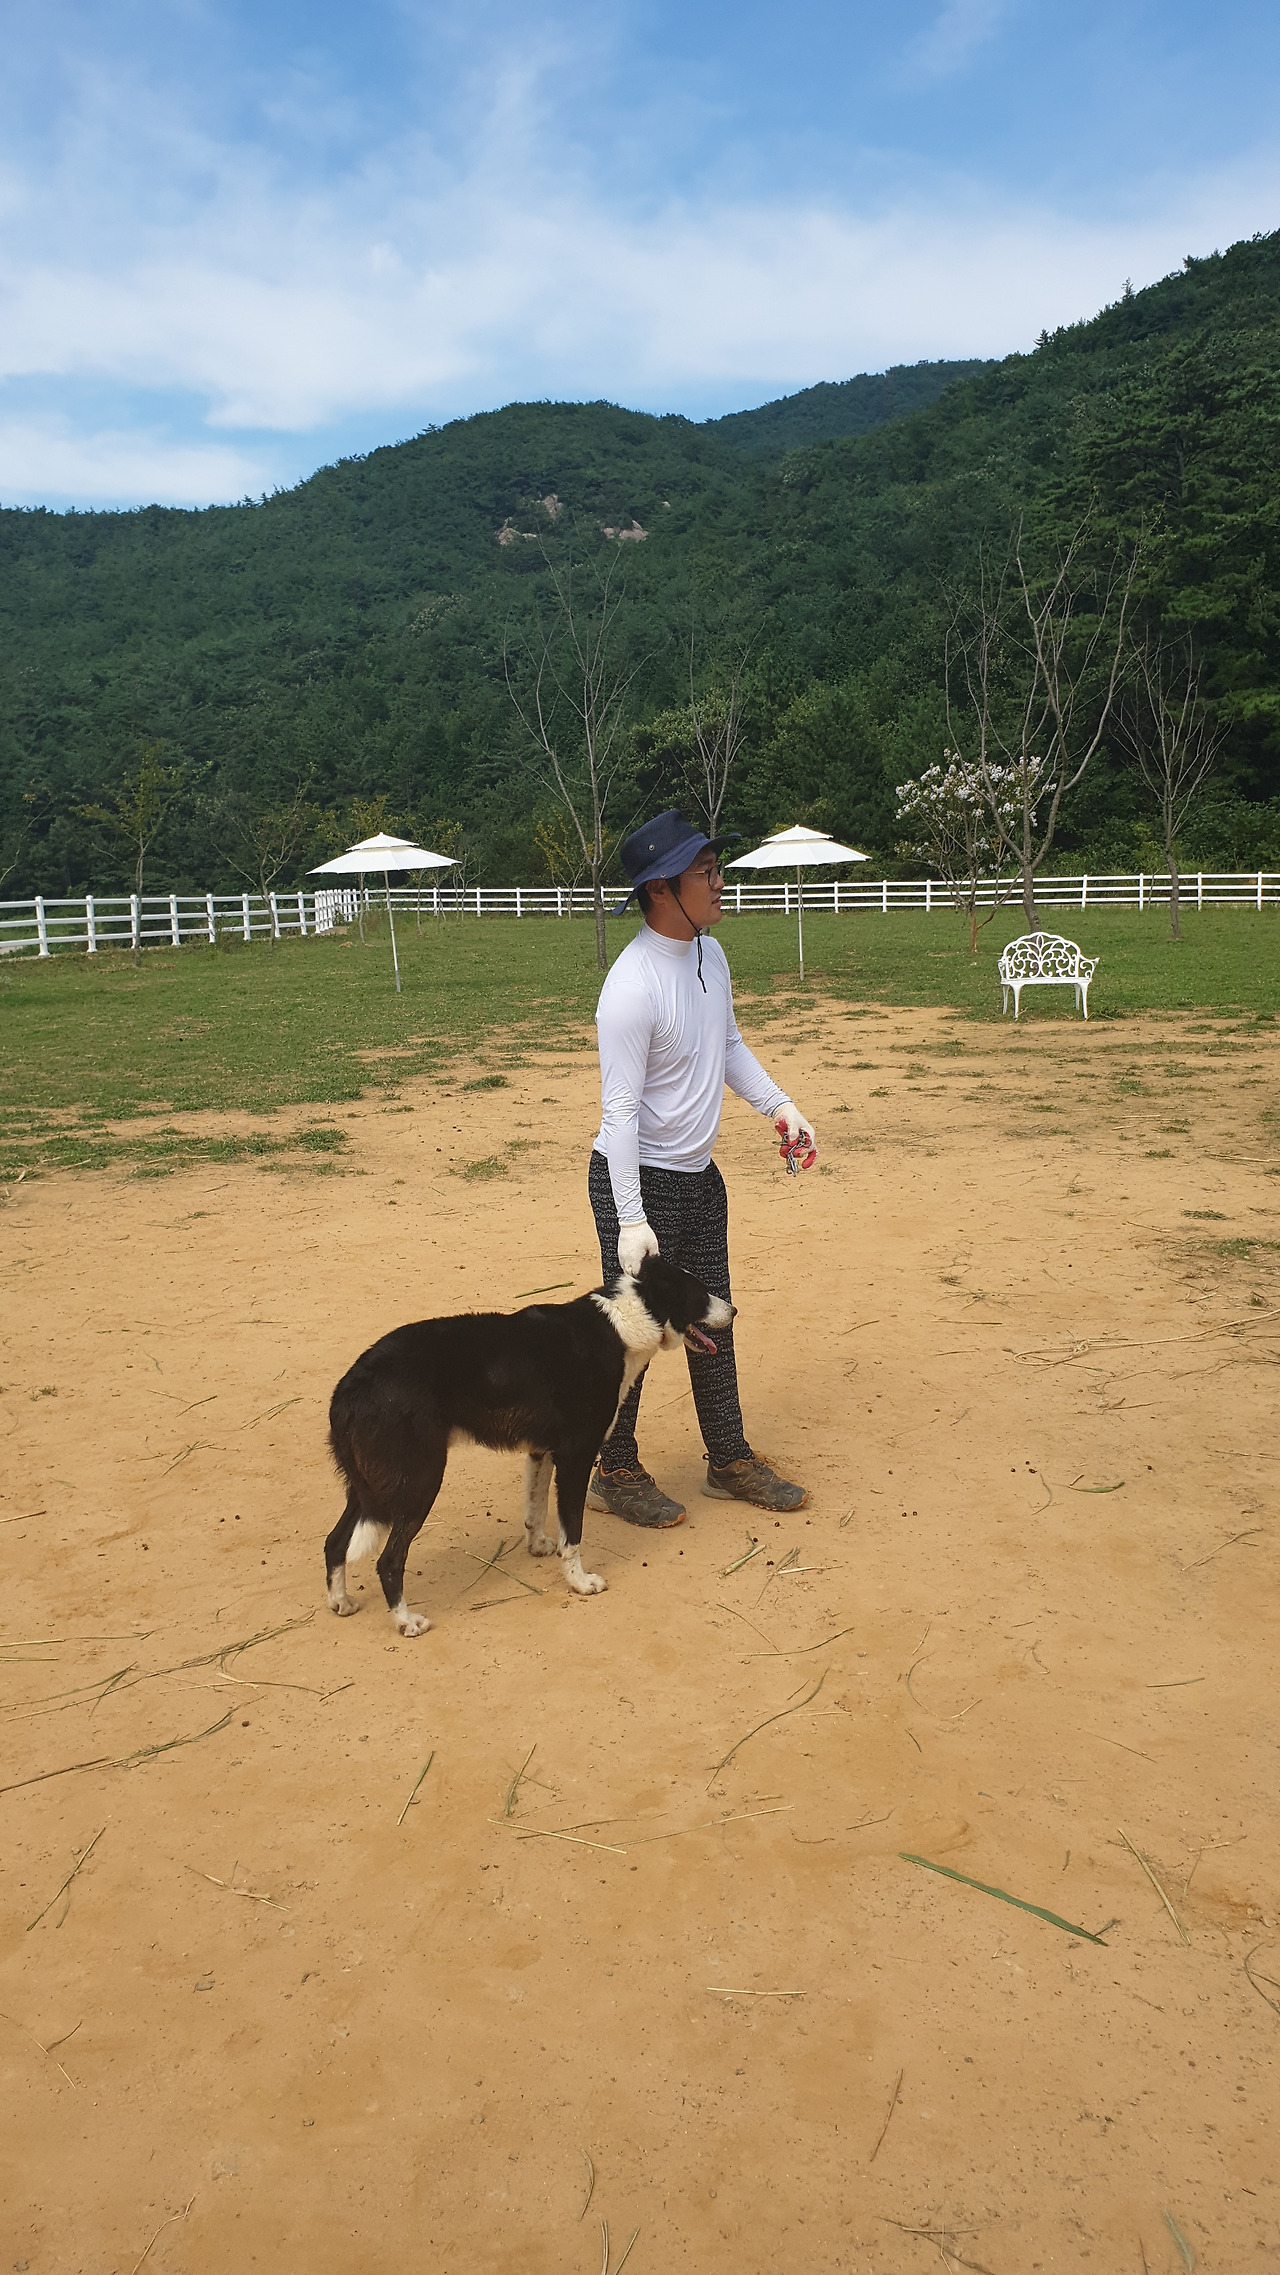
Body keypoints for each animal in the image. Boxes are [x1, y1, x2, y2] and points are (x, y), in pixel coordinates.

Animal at [324, 1253, 734, 1636]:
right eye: (700, 1294)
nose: (734, 1310)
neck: (626, 1322)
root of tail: (351, 1384)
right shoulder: (575, 1457)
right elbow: (573, 1534)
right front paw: (579, 1582)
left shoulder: (541, 1451)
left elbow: (535, 1509)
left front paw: (537, 1547)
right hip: (418, 1482)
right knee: (388, 1561)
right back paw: (407, 1621)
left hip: (368, 1489)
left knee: (335, 1542)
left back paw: (341, 1602)